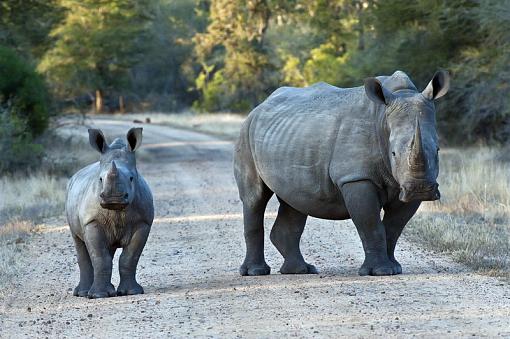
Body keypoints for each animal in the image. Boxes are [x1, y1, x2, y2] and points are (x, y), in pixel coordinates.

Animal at [67, 129, 155, 298]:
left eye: (132, 178)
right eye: (100, 179)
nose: (114, 198)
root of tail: (75, 175)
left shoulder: (143, 222)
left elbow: (130, 257)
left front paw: (131, 292)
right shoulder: (91, 221)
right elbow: (100, 258)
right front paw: (98, 296)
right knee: (79, 241)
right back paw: (82, 293)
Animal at [233, 70, 448, 278]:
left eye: (437, 150)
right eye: (393, 153)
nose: (420, 189)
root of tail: (258, 108)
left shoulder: (404, 185)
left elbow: (394, 227)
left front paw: (394, 268)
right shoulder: (356, 177)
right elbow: (371, 224)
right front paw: (381, 272)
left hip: (289, 138)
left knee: (294, 201)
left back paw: (301, 270)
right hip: (246, 134)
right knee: (255, 198)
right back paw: (256, 272)